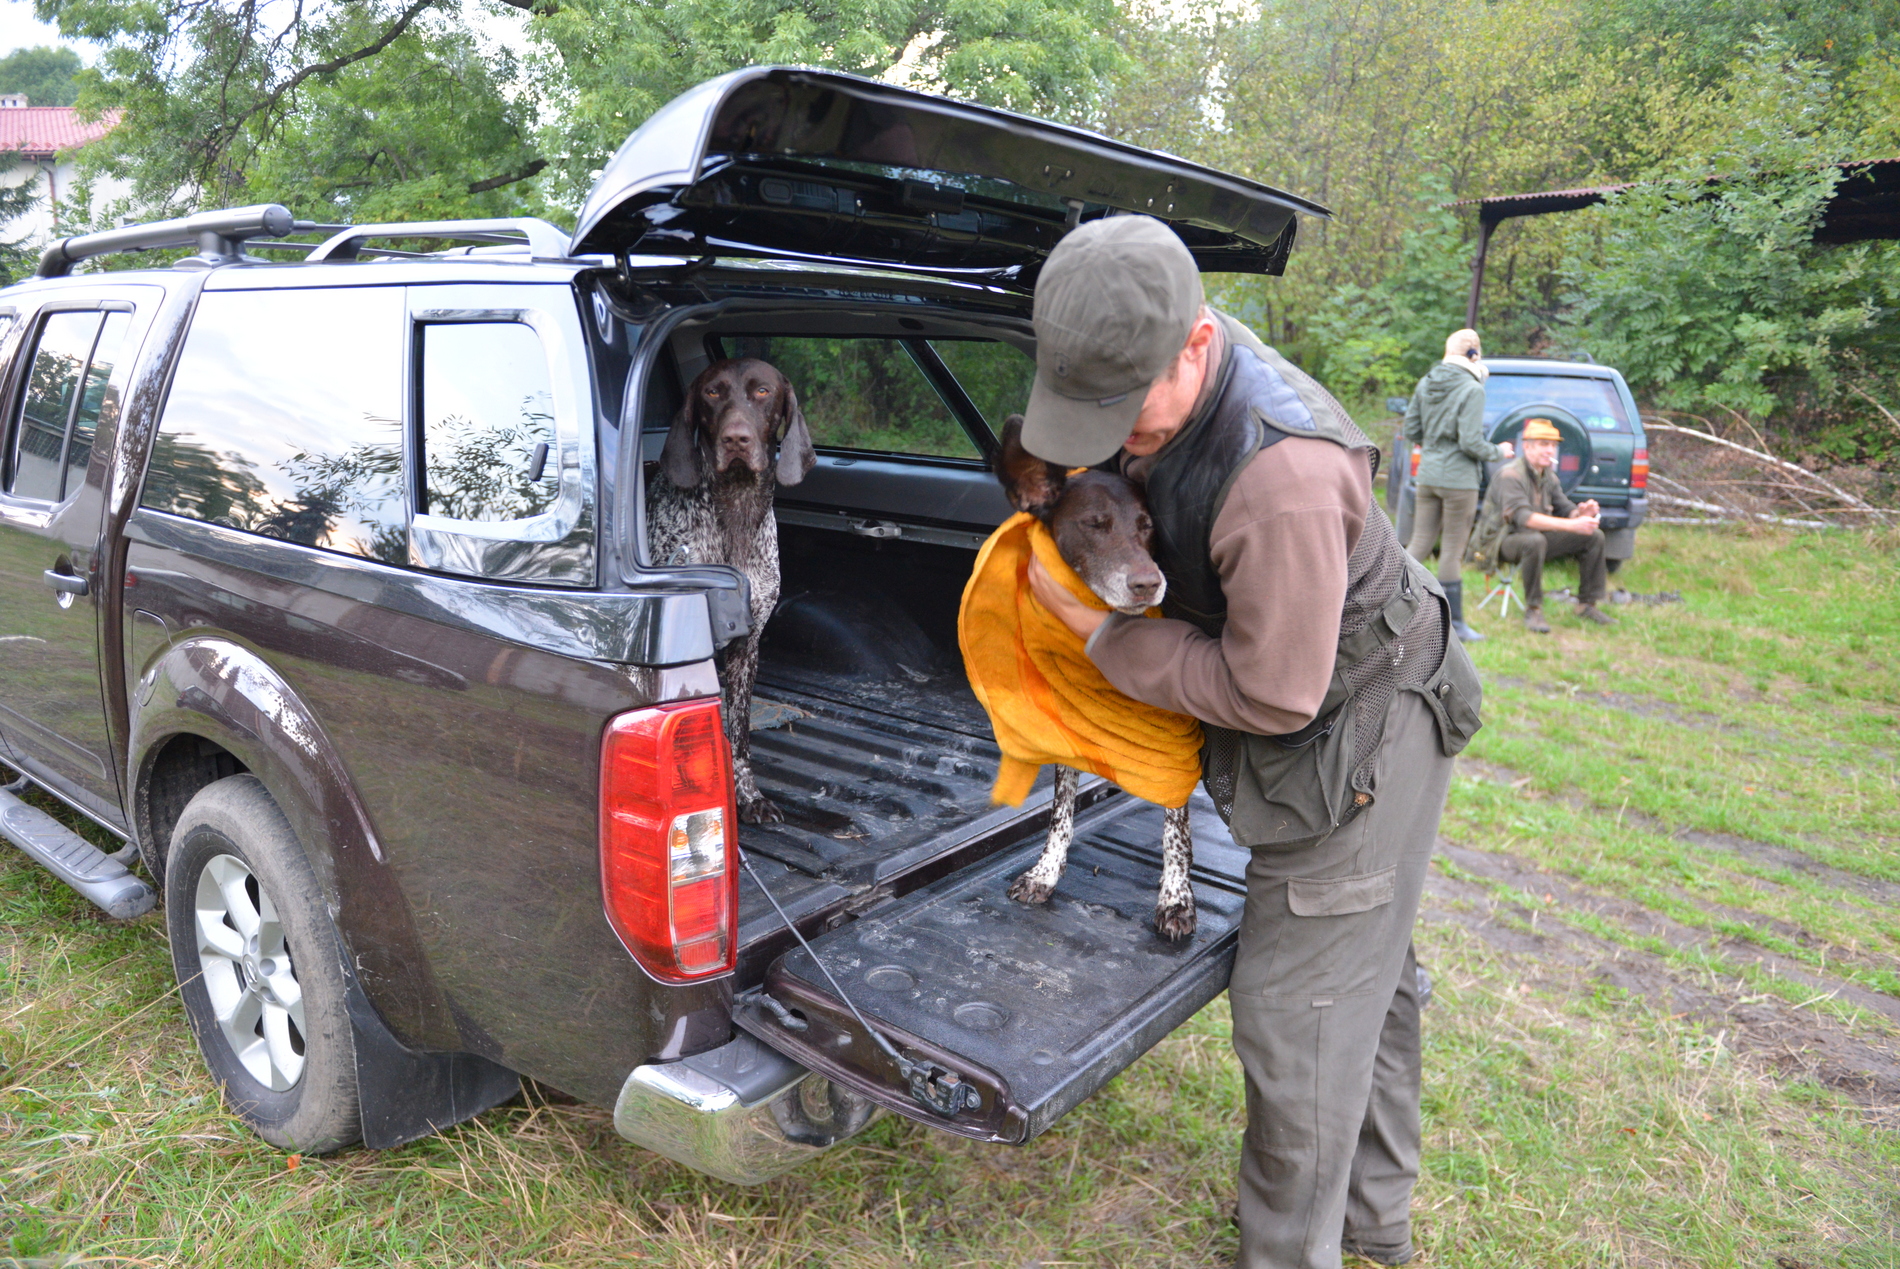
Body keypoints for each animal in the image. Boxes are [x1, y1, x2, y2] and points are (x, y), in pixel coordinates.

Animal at [647, 358, 815, 824]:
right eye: (713, 393)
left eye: (762, 392)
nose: (736, 438)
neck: (736, 509)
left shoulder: (747, 644)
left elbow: (738, 734)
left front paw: (748, 796)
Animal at [991, 416, 1197, 941]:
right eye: (1094, 525)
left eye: (1147, 527)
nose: (1148, 584)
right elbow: (1060, 814)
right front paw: (1045, 873)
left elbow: (1177, 828)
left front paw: (1176, 897)